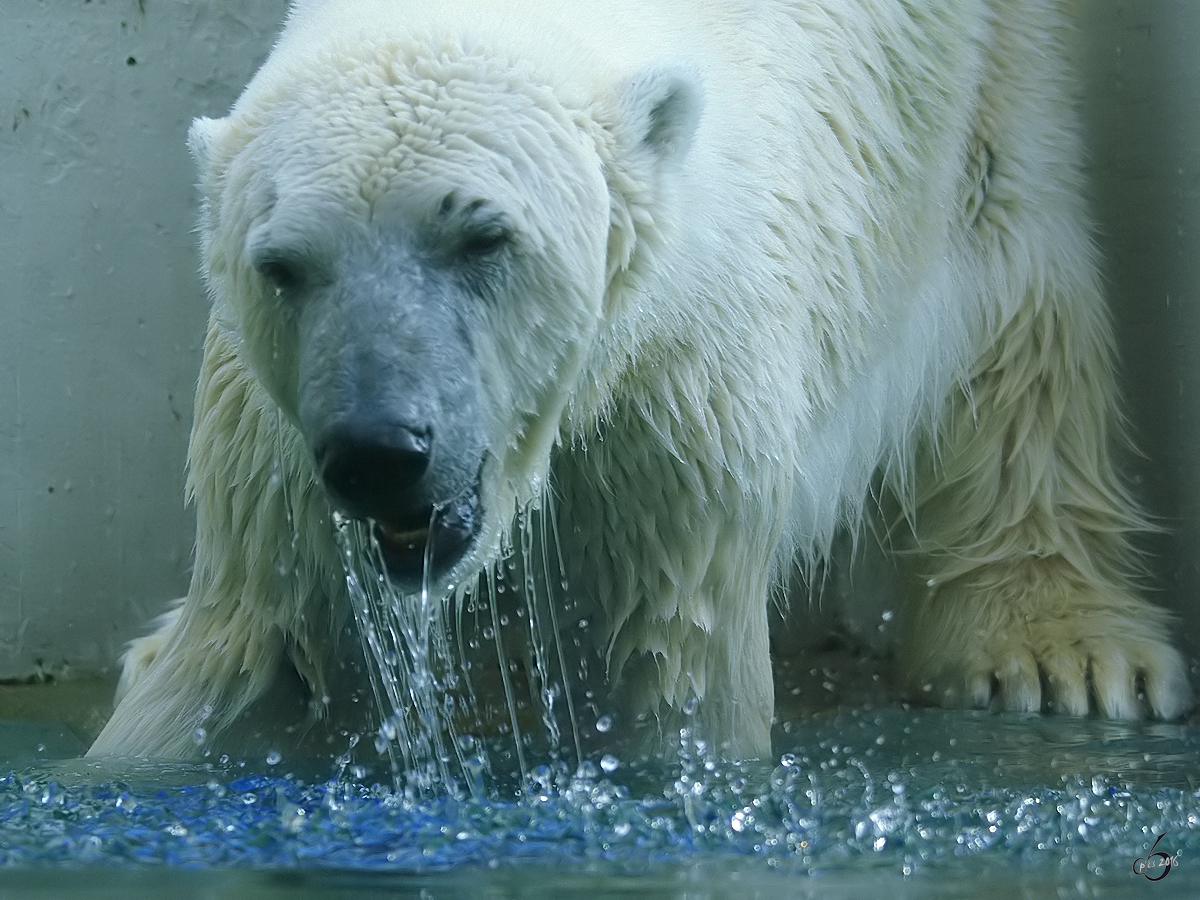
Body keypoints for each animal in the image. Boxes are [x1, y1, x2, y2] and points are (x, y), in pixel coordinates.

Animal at [88, 0, 1185, 768]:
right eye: (283, 265)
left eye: (483, 236)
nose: (378, 452)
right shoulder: (273, 437)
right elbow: (242, 640)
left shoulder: (680, 392)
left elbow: (680, 662)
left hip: (987, 86)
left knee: (1015, 300)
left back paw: (1060, 649)